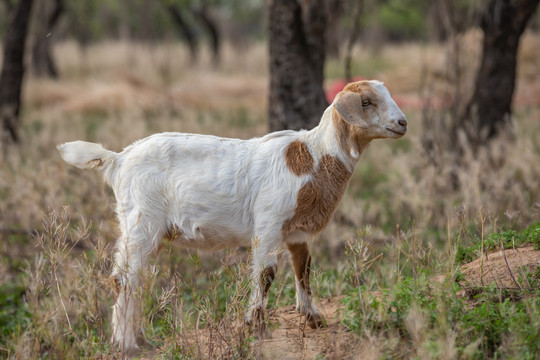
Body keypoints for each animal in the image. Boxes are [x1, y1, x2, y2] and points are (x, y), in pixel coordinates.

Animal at [57, 80, 408, 350]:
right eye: (366, 102)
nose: (403, 122)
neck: (314, 156)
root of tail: (118, 158)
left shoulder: (296, 232)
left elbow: (304, 269)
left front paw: (313, 317)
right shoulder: (269, 222)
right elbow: (265, 273)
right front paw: (257, 326)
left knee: (136, 278)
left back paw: (138, 339)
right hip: (141, 219)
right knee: (124, 278)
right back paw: (127, 344)